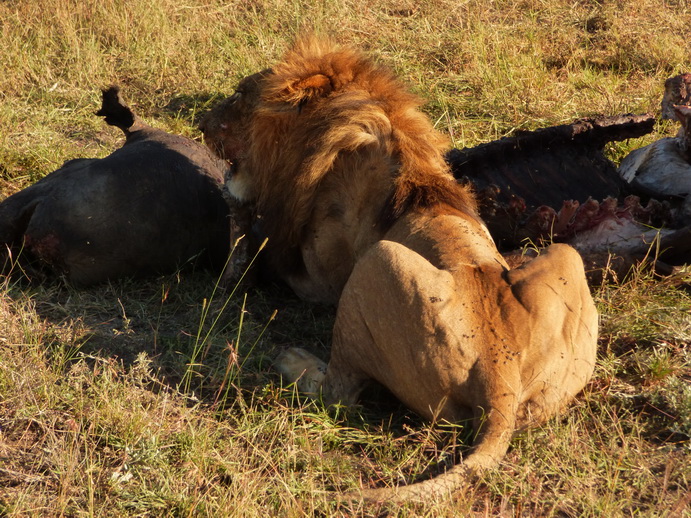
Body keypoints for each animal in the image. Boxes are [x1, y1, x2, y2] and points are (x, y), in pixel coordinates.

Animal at [200, 35, 600, 504]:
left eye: (239, 95)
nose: (202, 123)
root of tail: (499, 372)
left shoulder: (318, 280)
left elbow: (272, 252)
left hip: (378, 261)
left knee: (338, 393)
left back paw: (292, 359)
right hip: (566, 258)